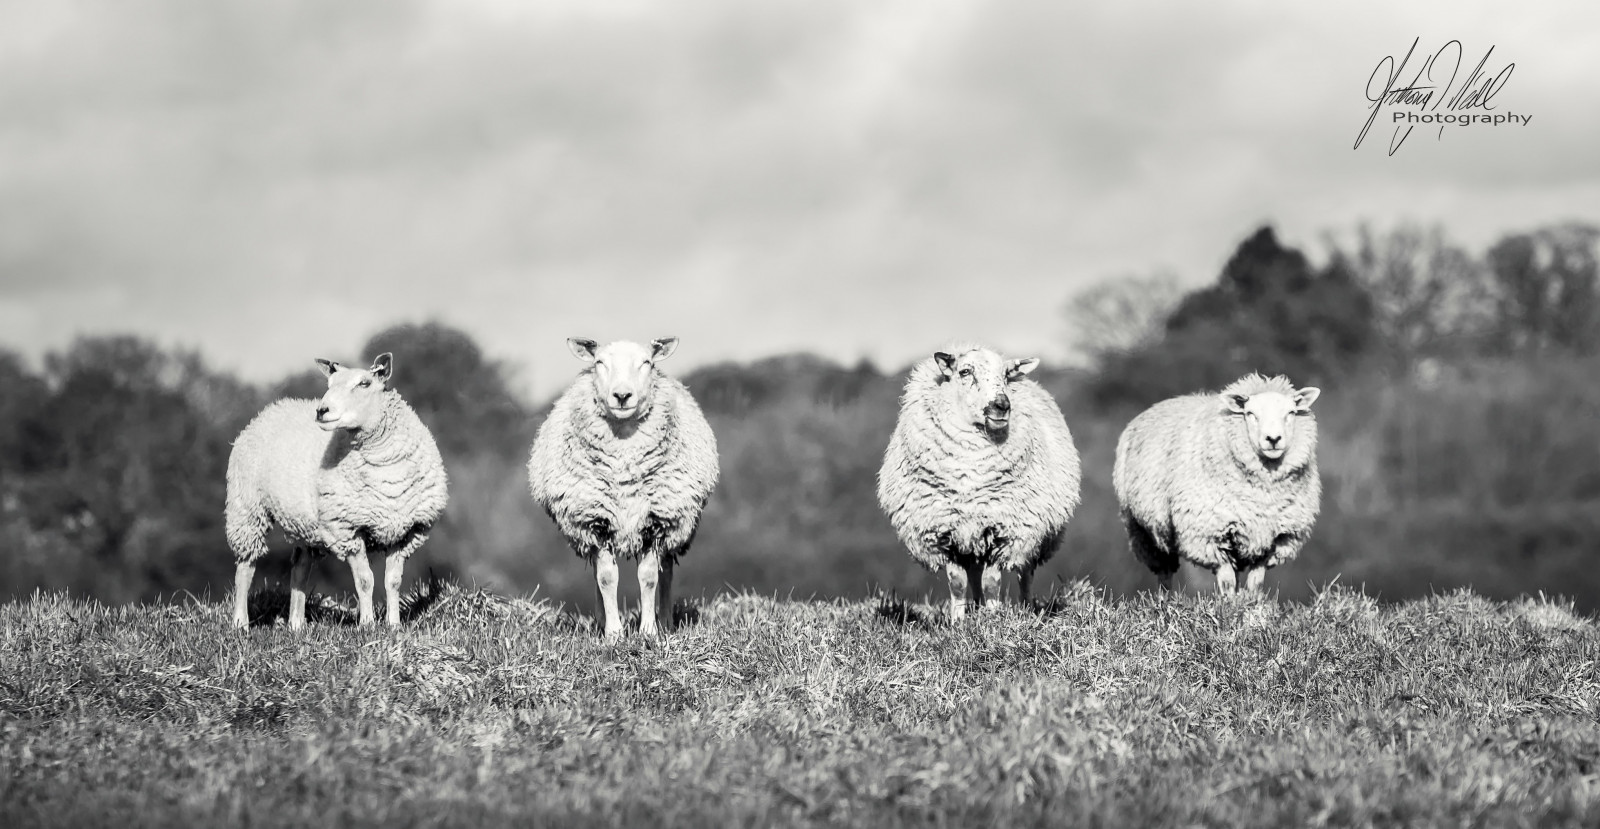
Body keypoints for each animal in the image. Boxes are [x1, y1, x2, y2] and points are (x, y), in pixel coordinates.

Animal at [224, 353, 449, 629]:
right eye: (329, 385)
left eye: (364, 383)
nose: (322, 411)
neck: (385, 466)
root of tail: (271, 410)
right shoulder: (348, 528)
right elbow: (365, 581)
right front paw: (367, 625)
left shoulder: (407, 532)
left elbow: (393, 581)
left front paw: (394, 625)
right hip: (246, 508)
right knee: (246, 567)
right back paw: (240, 623)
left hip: (304, 524)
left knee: (300, 568)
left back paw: (296, 625)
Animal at [527, 337, 719, 640]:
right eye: (599, 362)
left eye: (647, 362)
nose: (622, 395)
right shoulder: (595, 520)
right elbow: (606, 577)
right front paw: (614, 634)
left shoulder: (656, 521)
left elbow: (649, 577)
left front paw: (649, 632)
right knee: (598, 572)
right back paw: (601, 621)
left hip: (676, 524)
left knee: (666, 571)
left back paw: (665, 622)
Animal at [876, 344, 1082, 621]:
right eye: (965, 371)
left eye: (1006, 374)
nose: (1002, 406)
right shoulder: (945, 532)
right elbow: (957, 582)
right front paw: (958, 622)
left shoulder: (1003, 529)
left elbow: (992, 582)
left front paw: (995, 619)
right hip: (971, 539)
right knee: (974, 575)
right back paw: (976, 607)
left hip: (1032, 531)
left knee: (1024, 572)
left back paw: (1026, 608)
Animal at [1113, 372, 1321, 593]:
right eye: (1250, 414)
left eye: (1291, 413)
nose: (1273, 439)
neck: (1263, 495)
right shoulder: (1209, 534)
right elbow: (1227, 581)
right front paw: (1228, 602)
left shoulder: (1275, 539)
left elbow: (1255, 583)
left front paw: (1252, 601)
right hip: (1144, 531)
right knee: (1164, 571)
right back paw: (1164, 598)